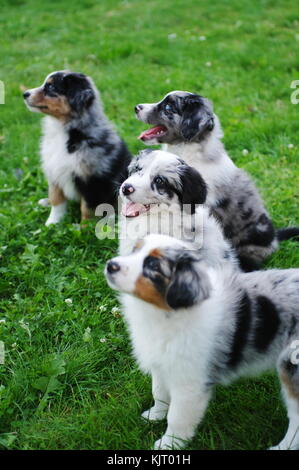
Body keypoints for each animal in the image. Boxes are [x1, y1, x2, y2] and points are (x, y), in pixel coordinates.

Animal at [23, 70, 131, 227]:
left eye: (51, 87)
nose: (25, 94)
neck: (62, 129)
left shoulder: (91, 179)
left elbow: (87, 208)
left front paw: (85, 228)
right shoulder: (53, 171)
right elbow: (56, 199)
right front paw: (52, 223)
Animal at [105, 233, 299, 450]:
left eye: (153, 265)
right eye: (135, 250)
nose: (111, 265)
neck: (165, 312)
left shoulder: (190, 382)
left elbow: (177, 417)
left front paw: (169, 444)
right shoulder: (162, 364)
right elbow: (159, 393)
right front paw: (154, 416)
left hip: (291, 367)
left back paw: (283, 447)